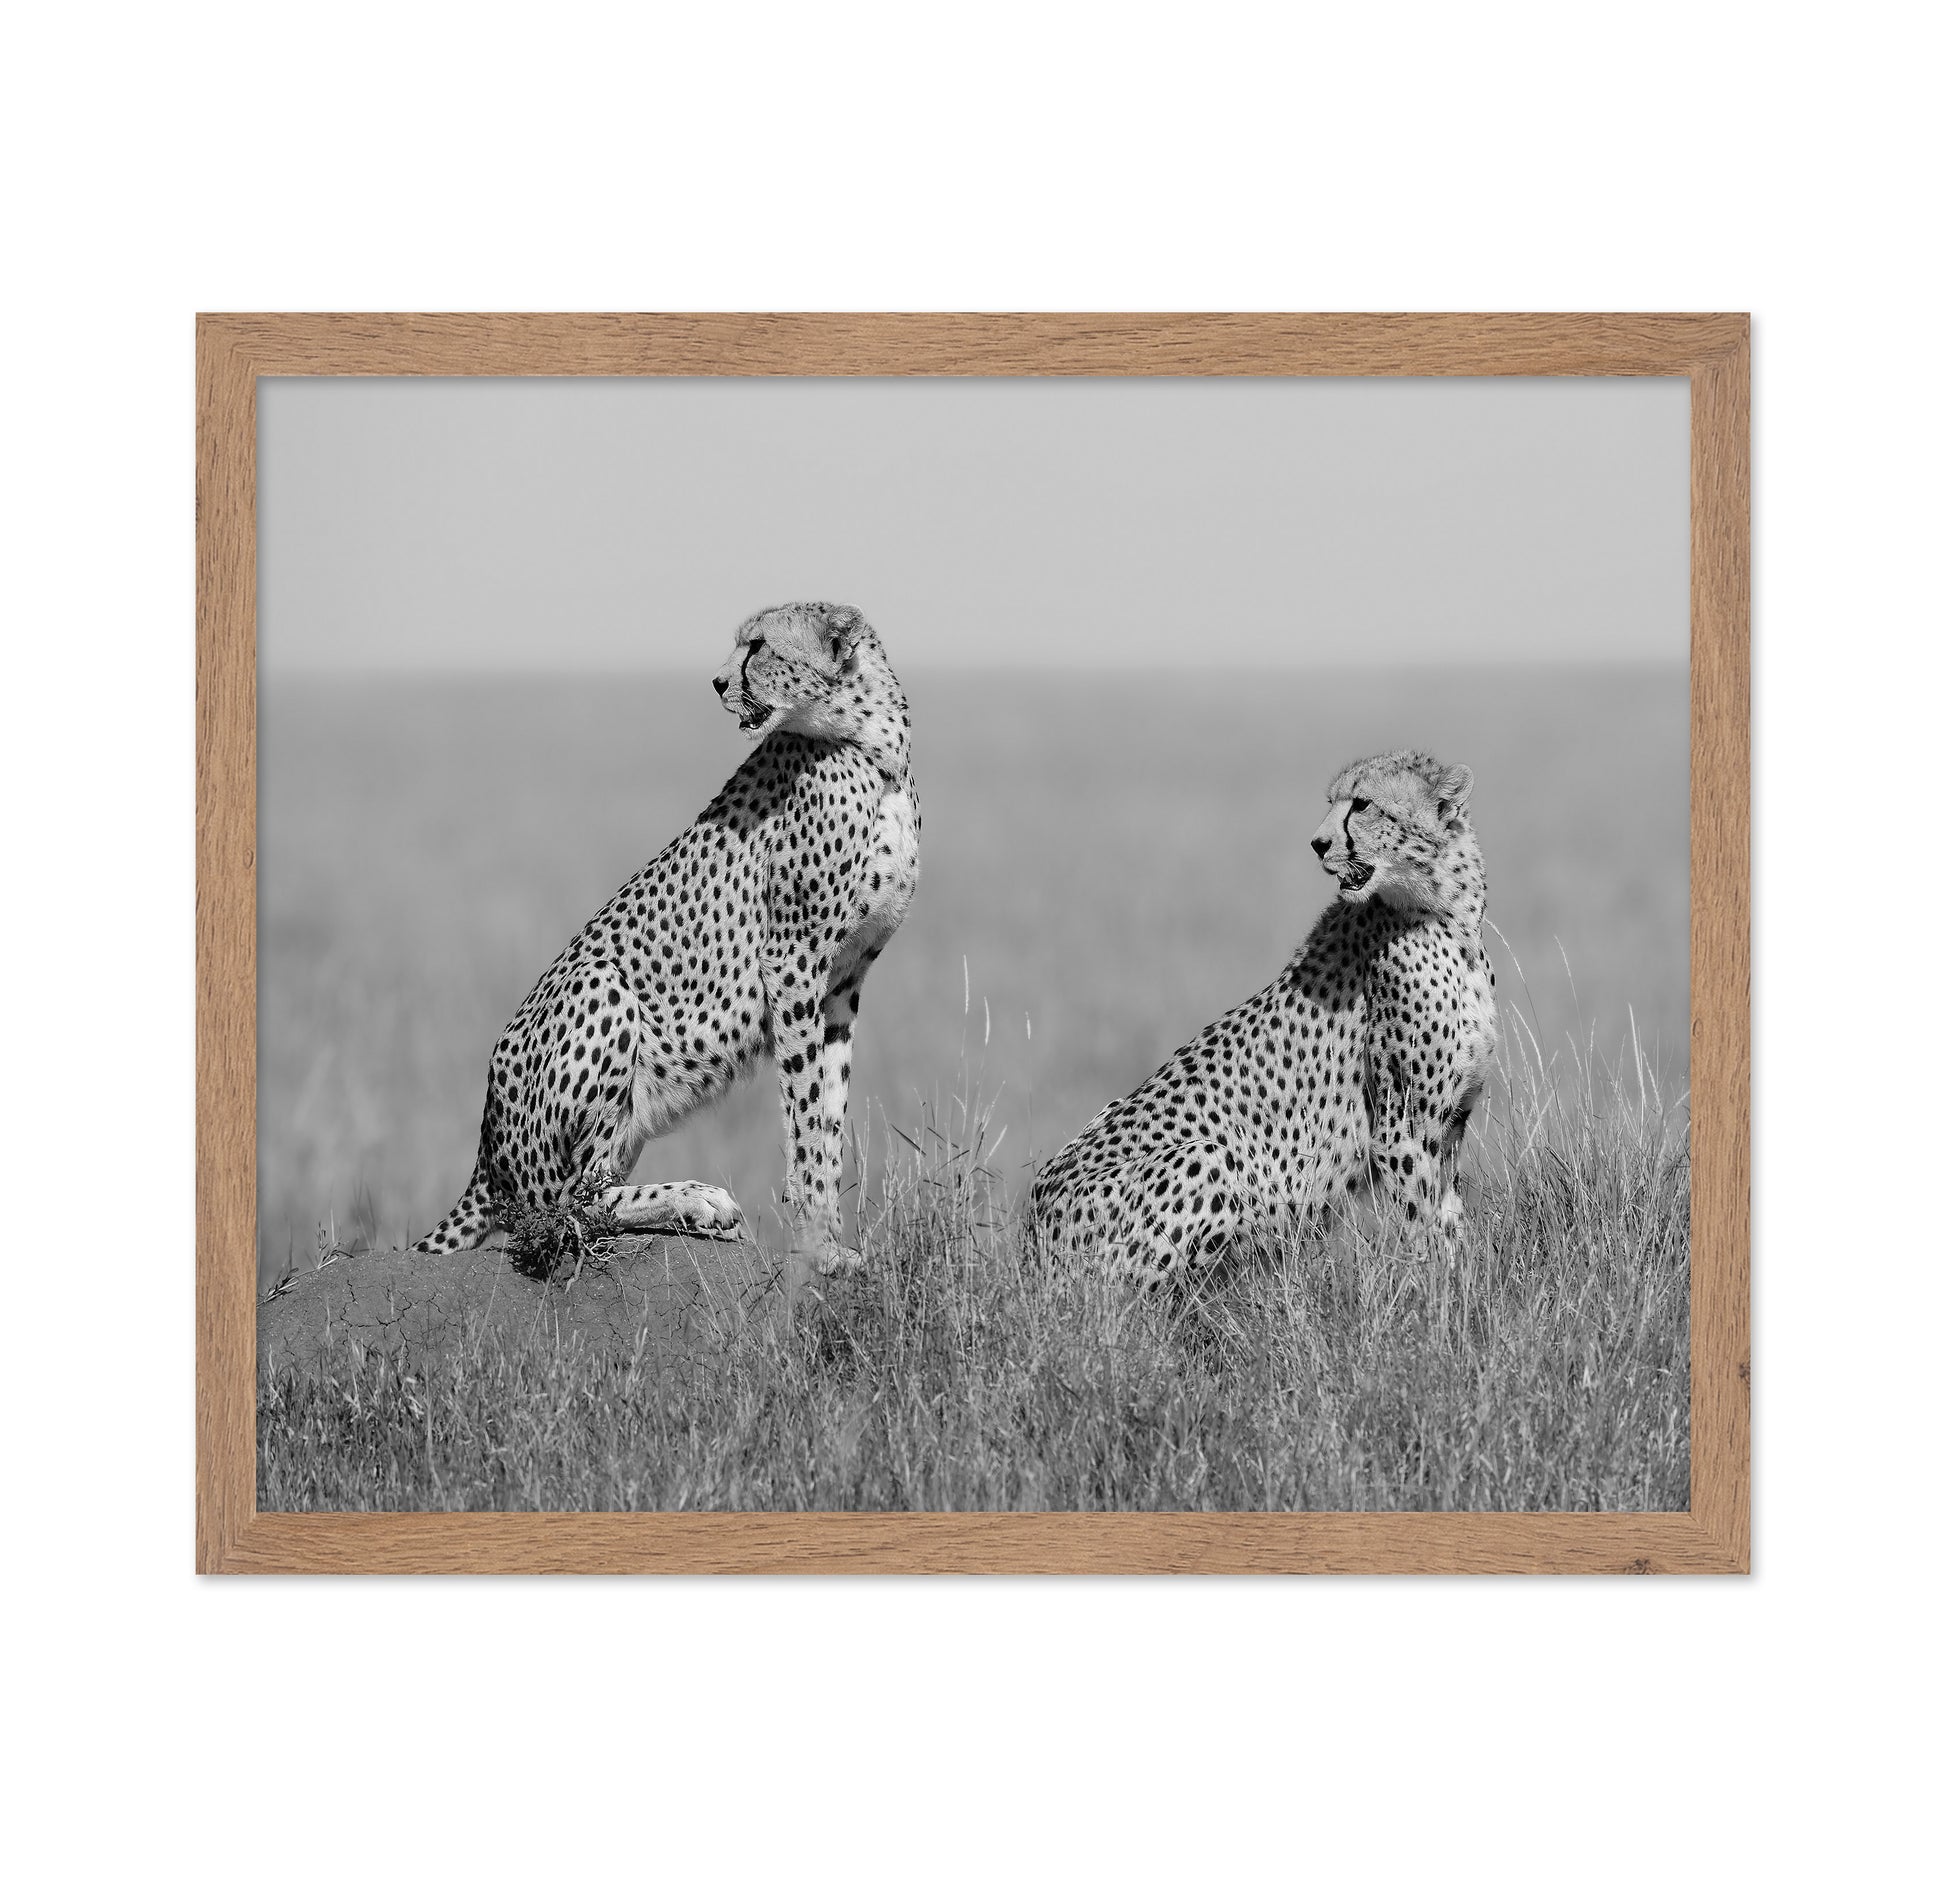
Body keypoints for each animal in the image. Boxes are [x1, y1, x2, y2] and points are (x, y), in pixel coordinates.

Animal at [412, 602, 920, 1295]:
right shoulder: (793, 961)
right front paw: (819, 1247)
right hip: (600, 985)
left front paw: (832, 1241)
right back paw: (699, 1200)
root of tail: (486, 1146)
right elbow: (805, 1115)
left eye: (759, 646)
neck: (872, 743)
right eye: (741, 644)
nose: (717, 682)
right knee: (565, 1206)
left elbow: (828, 1111)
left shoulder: (842, 982)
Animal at [1027, 749, 1496, 1285]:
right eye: (1332, 803)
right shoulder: (1403, 1131)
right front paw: (1434, 1292)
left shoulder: (1450, 1124)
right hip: (1204, 1159)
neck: (1448, 914)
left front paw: (1461, 1285)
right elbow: (1423, 1228)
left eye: (1362, 804)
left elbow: (1449, 1219)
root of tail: (1031, 1234)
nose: (1318, 843)